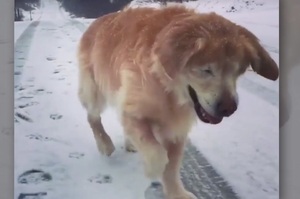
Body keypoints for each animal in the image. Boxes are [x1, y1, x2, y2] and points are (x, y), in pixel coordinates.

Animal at [77, 5, 278, 198]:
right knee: (92, 117)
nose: (229, 108)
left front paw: (176, 193)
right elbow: (158, 155)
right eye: (206, 70)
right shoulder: (133, 111)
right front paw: (152, 169)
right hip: (94, 90)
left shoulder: (176, 129)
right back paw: (105, 144)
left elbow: (172, 167)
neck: (167, 88)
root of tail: (98, 20)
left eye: (238, 71)